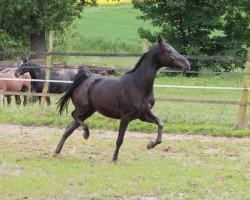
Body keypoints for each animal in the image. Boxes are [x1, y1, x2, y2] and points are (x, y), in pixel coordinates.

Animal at [55, 35, 190, 161]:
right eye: (169, 51)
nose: (187, 65)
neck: (138, 85)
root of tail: (86, 79)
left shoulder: (143, 115)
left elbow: (160, 123)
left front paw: (150, 145)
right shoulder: (126, 117)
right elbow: (120, 139)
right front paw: (114, 159)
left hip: (89, 111)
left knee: (69, 128)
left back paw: (57, 151)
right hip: (83, 108)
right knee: (74, 115)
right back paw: (85, 134)